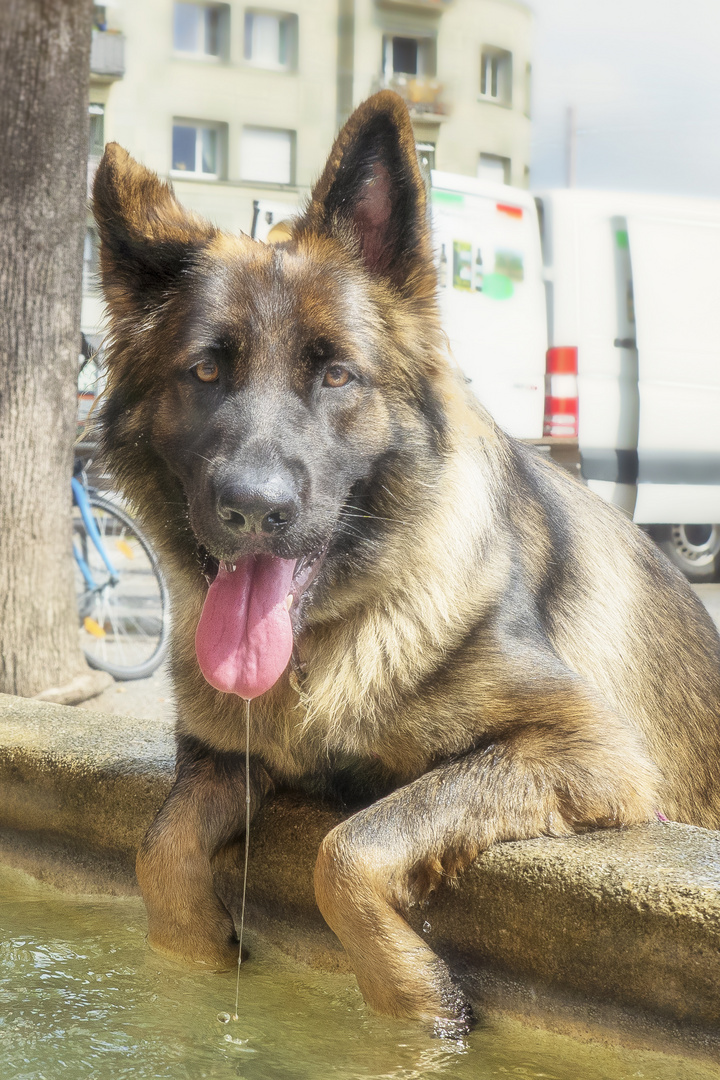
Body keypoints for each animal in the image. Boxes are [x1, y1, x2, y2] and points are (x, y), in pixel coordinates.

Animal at [92, 95, 720, 1036]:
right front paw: (200, 950)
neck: (333, 640)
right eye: (204, 369)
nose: (252, 508)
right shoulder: (217, 750)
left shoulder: (593, 752)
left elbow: (348, 847)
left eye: (337, 375)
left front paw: (417, 1000)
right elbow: (159, 849)